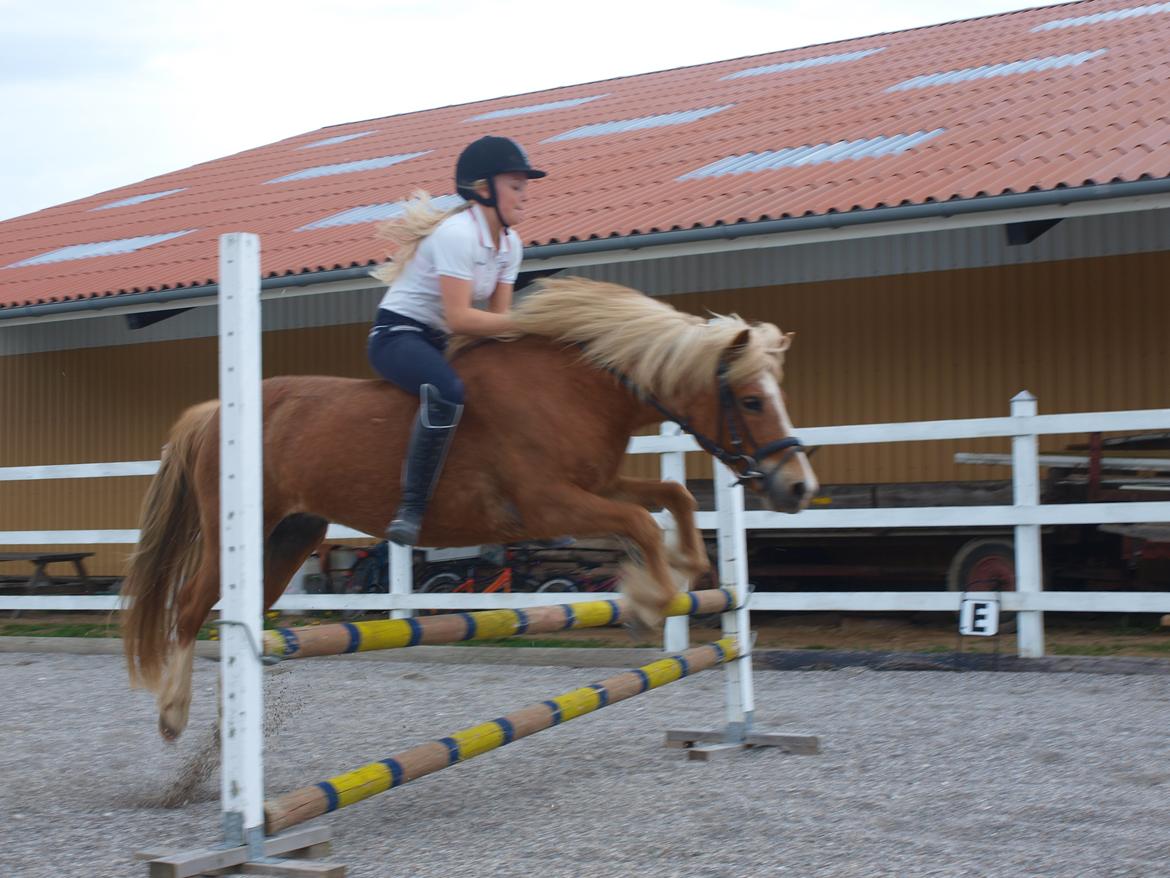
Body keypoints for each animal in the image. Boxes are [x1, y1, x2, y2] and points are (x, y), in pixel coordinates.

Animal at [121, 277, 818, 741]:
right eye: (752, 401)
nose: (798, 488)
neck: (576, 389)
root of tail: (216, 411)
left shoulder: (595, 484)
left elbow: (669, 498)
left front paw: (686, 566)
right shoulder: (548, 505)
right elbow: (639, 522)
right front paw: (649, 603)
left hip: (291, 534)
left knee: (240, 613)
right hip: (236, 532)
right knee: (190, 609)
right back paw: (174, 717)